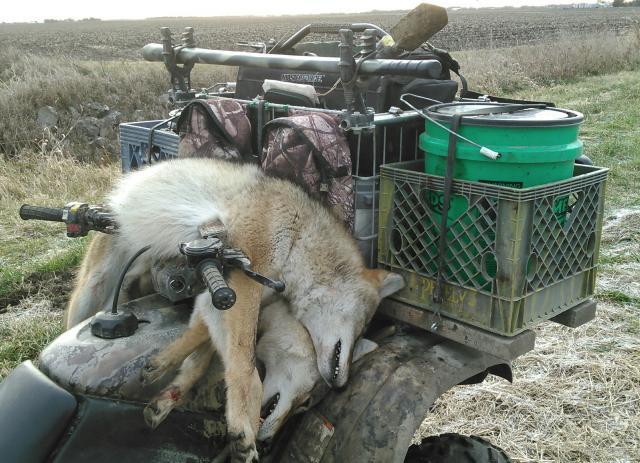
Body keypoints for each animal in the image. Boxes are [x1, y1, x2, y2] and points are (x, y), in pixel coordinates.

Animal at [67, 158, 404, 462]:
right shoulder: (242, 285)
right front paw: (244, 427)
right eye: (364, 324)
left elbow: (200, 356)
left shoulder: (218, 297)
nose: (341, 384)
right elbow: (245, 367)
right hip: (87, 299)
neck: (299, 235)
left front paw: (164, 380)